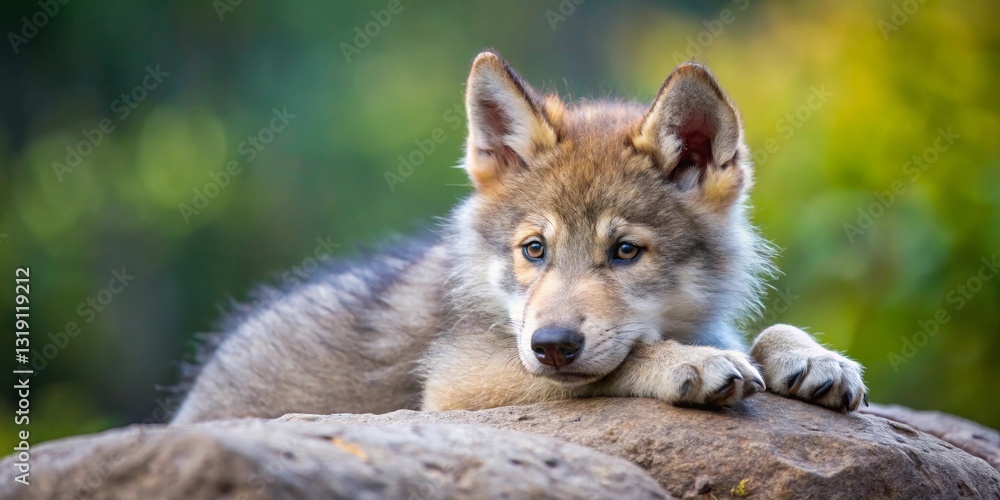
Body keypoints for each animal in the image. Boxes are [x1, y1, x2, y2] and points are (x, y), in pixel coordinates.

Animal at [172, 50, 867, 424]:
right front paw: (688, 362)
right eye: (535, 249)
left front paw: (814, 358)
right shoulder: (454, 388)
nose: (552, 345)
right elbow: (626, 360)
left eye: (625, 251)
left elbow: (765, 332)